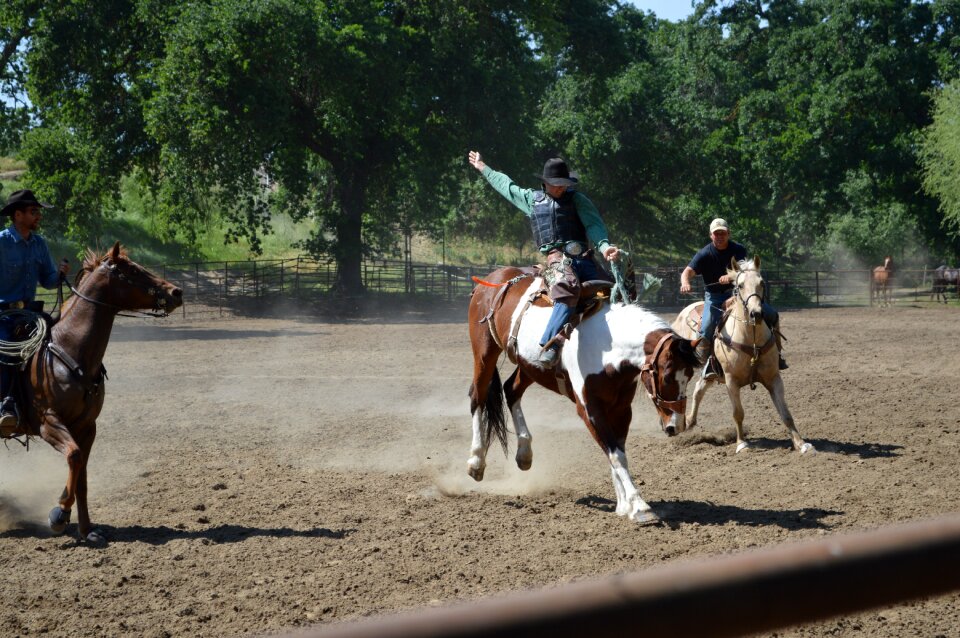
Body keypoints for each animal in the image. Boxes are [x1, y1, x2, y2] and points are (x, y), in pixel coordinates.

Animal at [464, 264, 696, 524]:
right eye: (667, 377)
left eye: (690, 375)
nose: (676, 425)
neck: (608, 349)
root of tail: (494, 279)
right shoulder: (589, 410)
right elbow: (615, 454)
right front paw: (639, 507)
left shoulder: (621, 409)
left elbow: (617, 451)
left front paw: (623, 504)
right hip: (484, 352)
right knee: (477, 397)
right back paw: (476, 462)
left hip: (529, 366)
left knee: (511, 390)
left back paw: (524, 453)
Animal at [672, 258, 812, 458]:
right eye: (740, 285)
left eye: (762, 283)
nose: (756, 313)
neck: (750, 339)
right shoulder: (731, 381)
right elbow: (738, 413)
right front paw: (742, 444)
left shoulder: (773, 378)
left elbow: (785, 413)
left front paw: (801, 444)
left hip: (712, 373)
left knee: (699, 389)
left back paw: (690, 421)